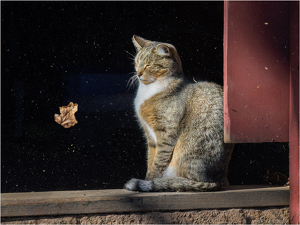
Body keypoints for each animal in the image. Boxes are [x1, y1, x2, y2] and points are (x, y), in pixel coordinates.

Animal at [124, 35, 234, 192]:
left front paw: (150, 181)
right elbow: (151, 159)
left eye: (148, 65)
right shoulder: (150, 137)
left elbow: (158, 162)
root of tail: (221, 181)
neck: (149, 90)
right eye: (137, 63)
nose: (138, 73)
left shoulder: (166, 132)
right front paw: (147, 179)